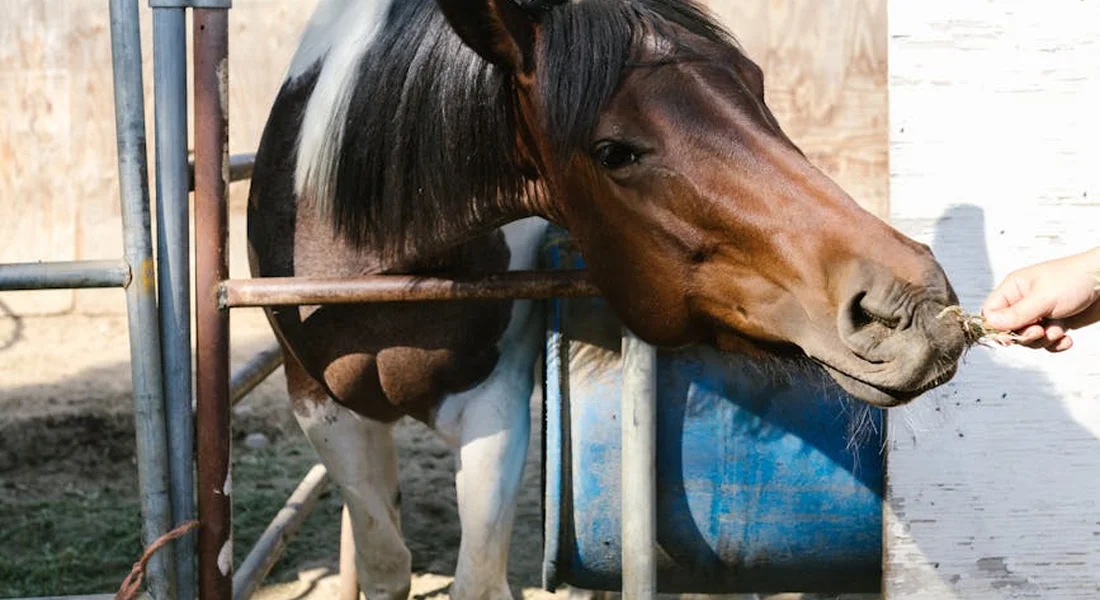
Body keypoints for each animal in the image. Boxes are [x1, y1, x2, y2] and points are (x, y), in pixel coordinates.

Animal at [246, 0, 967, 597]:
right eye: (614, 151)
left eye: (758, 86)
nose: (915, 305)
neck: (384, 263)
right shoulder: (320, 409)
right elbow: (388, 566)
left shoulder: (495, 405)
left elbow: (476, 580)